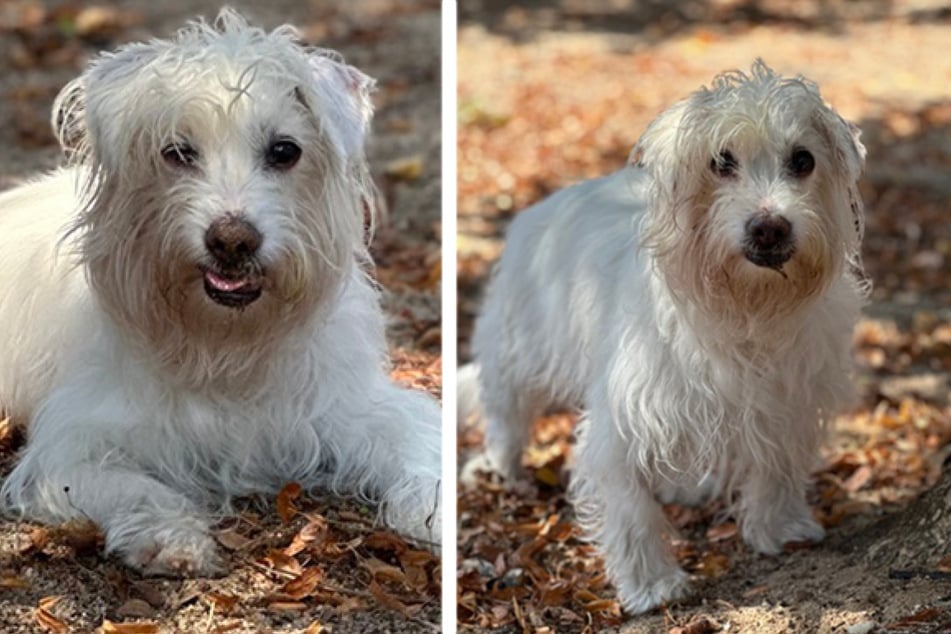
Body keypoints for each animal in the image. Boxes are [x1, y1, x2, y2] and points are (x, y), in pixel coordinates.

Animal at [0, 8, 442, 572]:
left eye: (284, 151)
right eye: (177, 152)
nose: (232, 240)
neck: (225, 343)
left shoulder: (352, 407)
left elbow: (418, 442)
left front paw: (435, 513)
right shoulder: (71, 445)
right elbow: (131, 486)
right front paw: (172, 536)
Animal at [462, 60, 872, 612]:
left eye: (803, 160)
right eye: (721, 162)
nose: (770, 228)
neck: (746, 307)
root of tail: (542, 206)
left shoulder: (789, 402)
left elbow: (778, 466)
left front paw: (780, 527)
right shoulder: (623, 418)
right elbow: (630, 507)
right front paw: (652, 583)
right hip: (518, 349)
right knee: (505, 412)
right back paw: (504, 471)